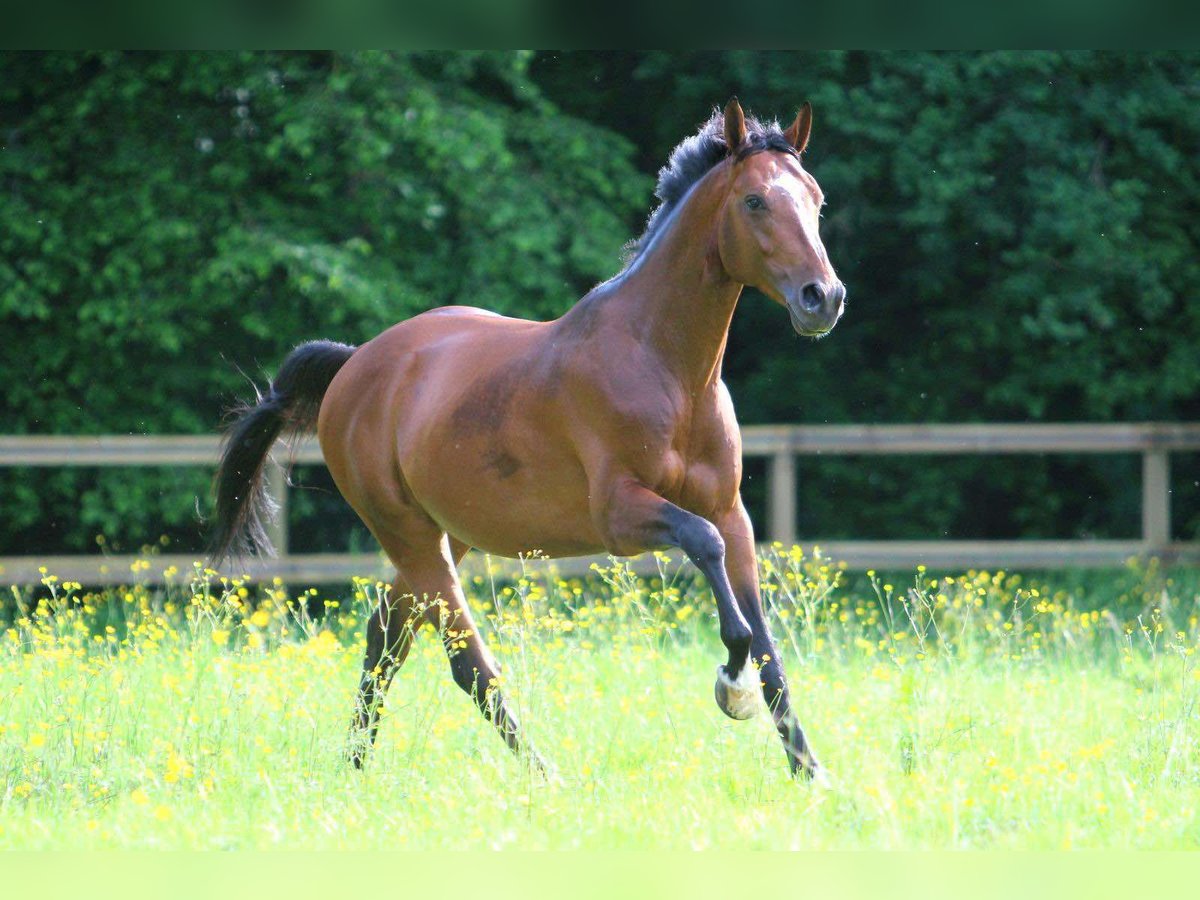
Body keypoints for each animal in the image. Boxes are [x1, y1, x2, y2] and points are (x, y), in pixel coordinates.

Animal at [211, 100, 844, 782]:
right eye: (754, 201)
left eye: (816, 198)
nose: (823, 298)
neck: (667, 369)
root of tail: (354, 365)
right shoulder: (621, 516)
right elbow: (712, 568)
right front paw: (731, 688)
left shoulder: (732, 513)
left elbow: (768, 645)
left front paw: (812, 774)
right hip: (411, 537)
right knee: (467, 664)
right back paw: (545, 778)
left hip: (443, 537)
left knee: (386, 635)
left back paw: (354, 764)